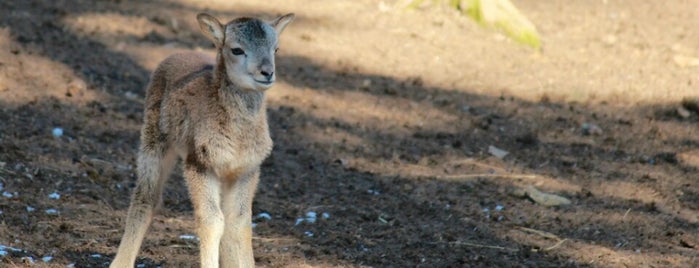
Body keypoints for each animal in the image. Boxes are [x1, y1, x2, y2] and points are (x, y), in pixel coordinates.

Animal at [108, 11, 292, 266]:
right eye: (237, 50)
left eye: (276, 49)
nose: (267, 73)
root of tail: (177, 54)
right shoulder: (199, 163)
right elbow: (211, 221)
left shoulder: (247, 169)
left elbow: (239, 223)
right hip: (153, 140)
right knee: (146, 196)